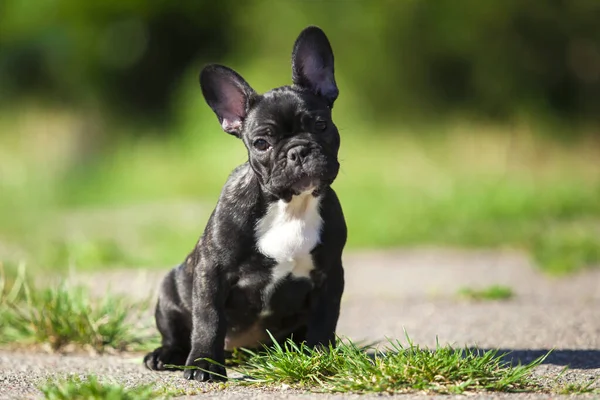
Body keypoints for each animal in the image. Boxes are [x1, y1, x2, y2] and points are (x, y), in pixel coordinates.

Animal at [144, 25, 346, 382]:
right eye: (261, 143)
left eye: (321, 126)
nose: (298, 150)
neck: (290, 206)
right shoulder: (211, 272)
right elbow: (209, 319)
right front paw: (204, 365)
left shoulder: (330, 275)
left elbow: (325, 318)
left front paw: (320, 356)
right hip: (170, 291)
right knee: (176, 333)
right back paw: (165, 354)